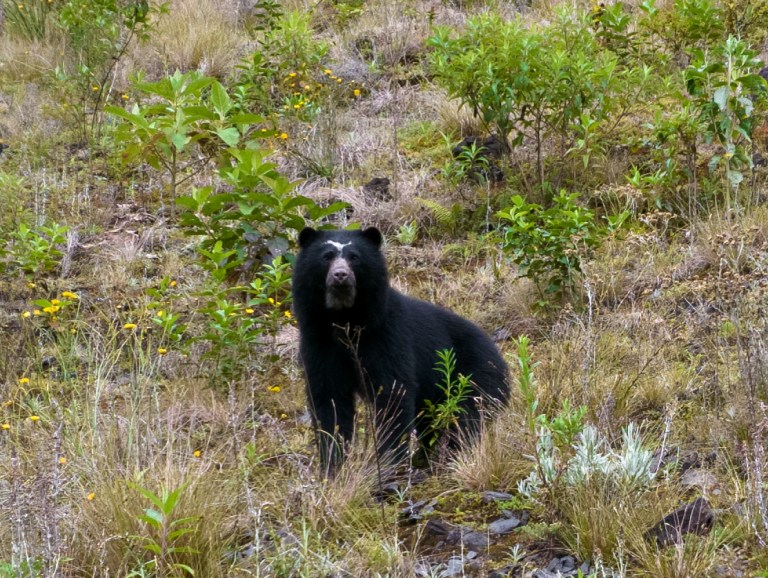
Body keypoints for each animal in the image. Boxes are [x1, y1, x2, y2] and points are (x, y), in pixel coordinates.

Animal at [292, 226, 509, 474]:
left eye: (354, 257)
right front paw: (332, 466)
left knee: (467, 416)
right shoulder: (318, 342)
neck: (345, 318)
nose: (340, 275)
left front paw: (390, 464)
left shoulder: (386, 336)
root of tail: (499, 356)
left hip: (475, 376)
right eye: (326, 256)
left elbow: (393, 392)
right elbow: (329, 400)